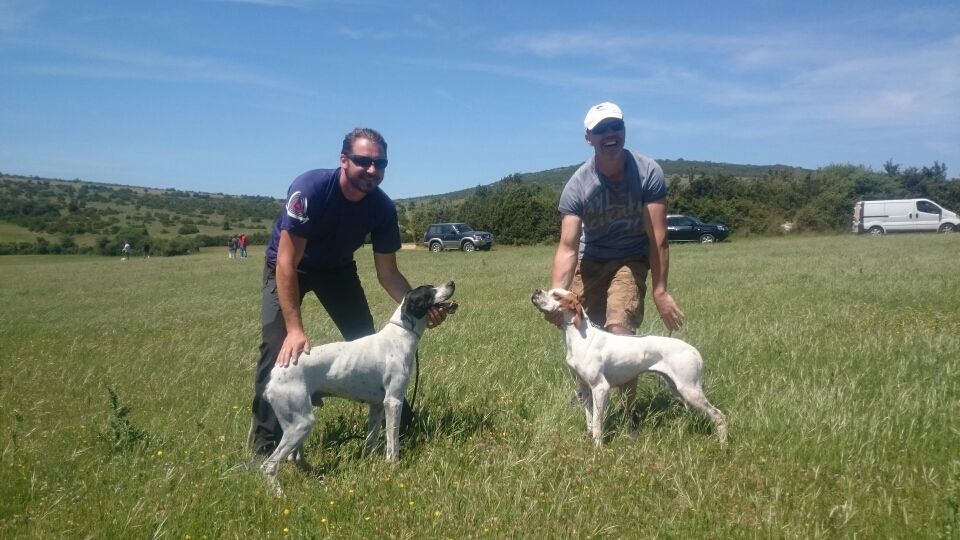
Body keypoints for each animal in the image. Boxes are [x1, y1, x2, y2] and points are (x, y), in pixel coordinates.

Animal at [260, 282, 460, 494]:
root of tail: (273, 376)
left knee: (294, 457)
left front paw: (369, 463)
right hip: (300, 424)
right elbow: (392, 441)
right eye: (428, 292)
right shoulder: (393, 402)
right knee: (269, 465)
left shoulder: (377, 406)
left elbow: (371, 441)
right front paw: (393, 465)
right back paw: (279, 493)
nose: (451, 283)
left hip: (299, 423)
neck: (400, 335)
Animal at [528, 288, 724, 446]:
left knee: (719, 416)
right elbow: (590, 419)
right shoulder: (584, 388)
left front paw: (597, 447)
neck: (579, 337)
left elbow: (598, 423)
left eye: (557, 295)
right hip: (677, 389)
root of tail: (694, 351)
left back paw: (722, 444)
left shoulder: (600, 388)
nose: (536, 291)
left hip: (689, 390)